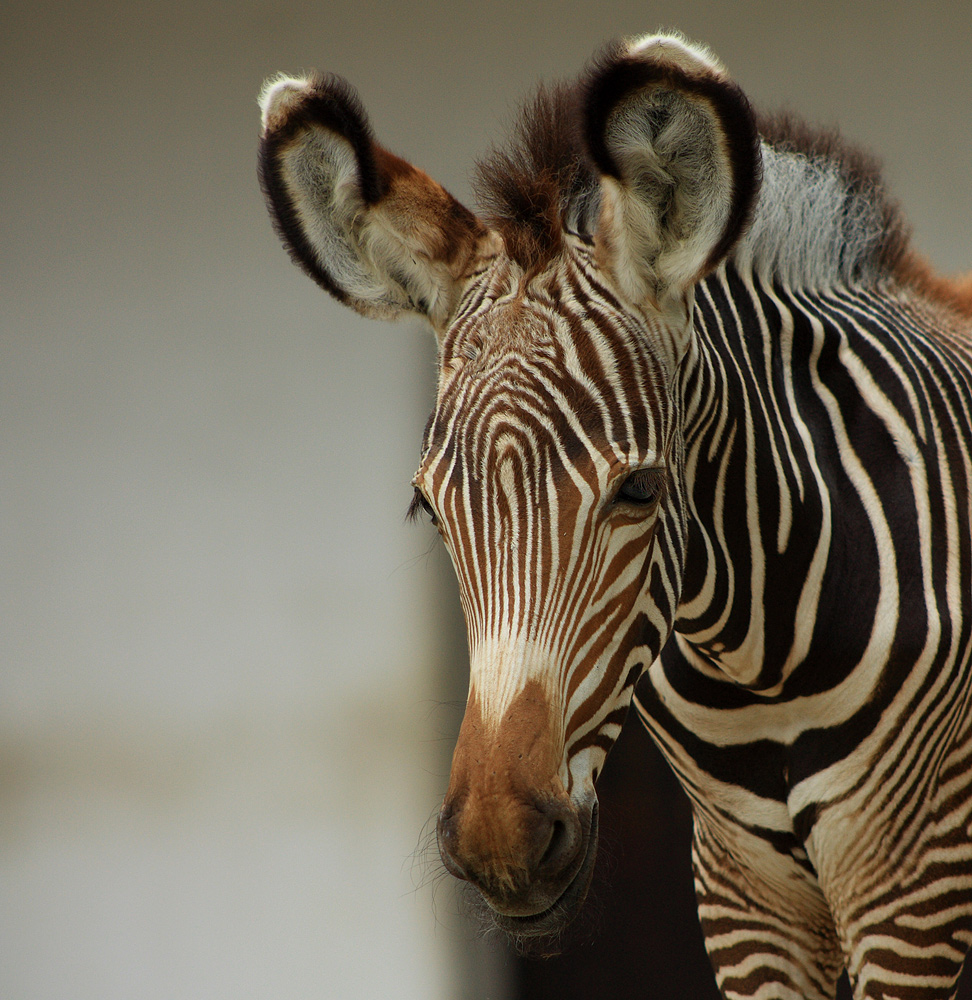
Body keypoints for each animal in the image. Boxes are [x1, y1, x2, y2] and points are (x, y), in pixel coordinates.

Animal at [258, 31, 972, 1000]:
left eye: (639, 491)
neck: (760, 665)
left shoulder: (910, 888)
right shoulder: (746, 899)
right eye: (428, 510)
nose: (503, 846)